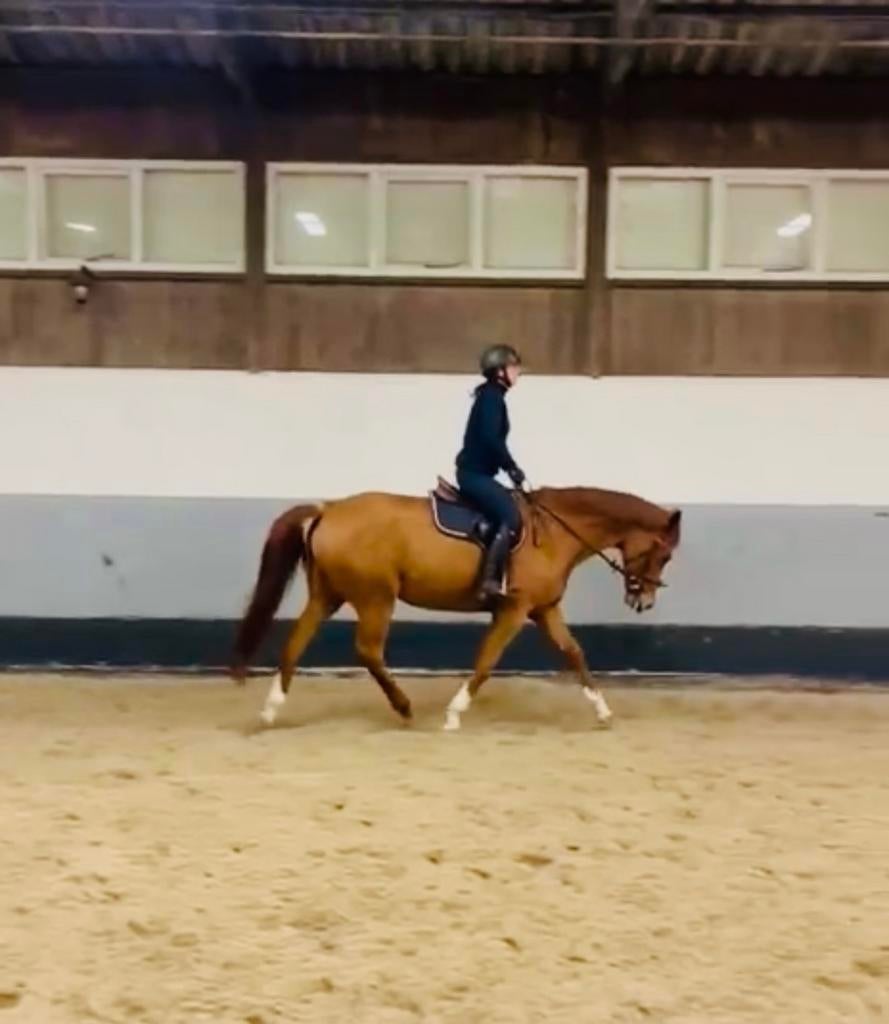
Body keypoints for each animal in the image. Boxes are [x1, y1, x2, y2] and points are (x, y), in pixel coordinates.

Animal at [230, 480, 681, 731]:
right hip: (376, 597)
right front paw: (453, 714)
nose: (643, 600)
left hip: (327, 595)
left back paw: (270, 711)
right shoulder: (514, 609)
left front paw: (603, 712)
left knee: (294, 644)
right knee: (368, 650)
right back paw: (404, 707)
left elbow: (575, 654)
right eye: (663, 554)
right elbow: (486, 660)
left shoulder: (544, 609)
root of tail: (329, 508)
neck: (554, 532)